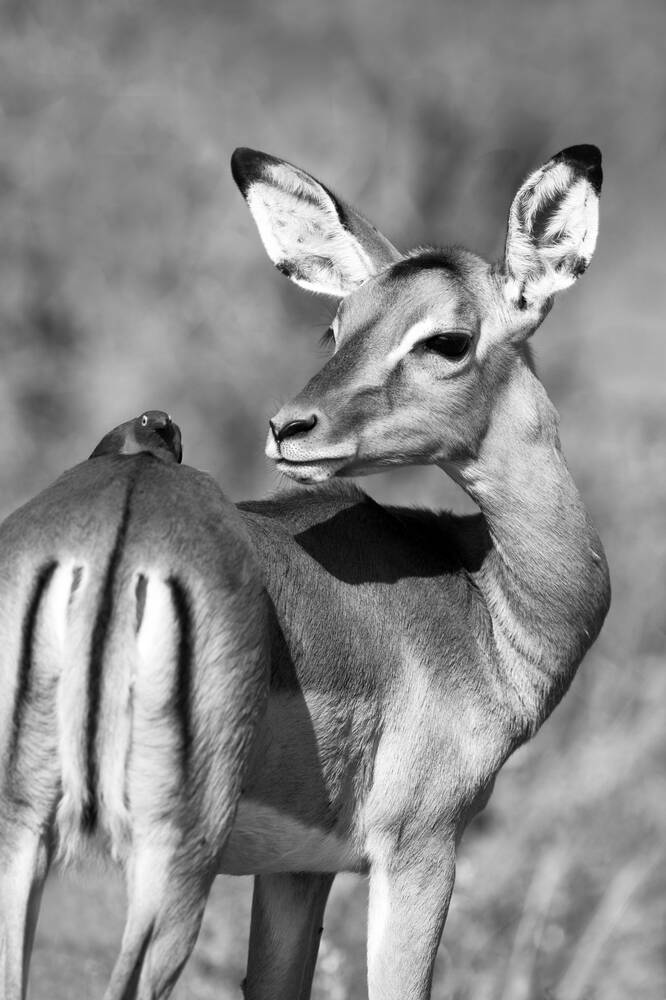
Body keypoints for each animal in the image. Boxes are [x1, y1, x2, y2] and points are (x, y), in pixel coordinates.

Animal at [0, 143, 610, 1000]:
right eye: (337, 326)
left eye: (447, 340)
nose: (289, 428)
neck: (482, 601)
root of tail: (116, 534)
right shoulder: (419, 848)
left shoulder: (297, 871)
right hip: (167, 863)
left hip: (25, 834)